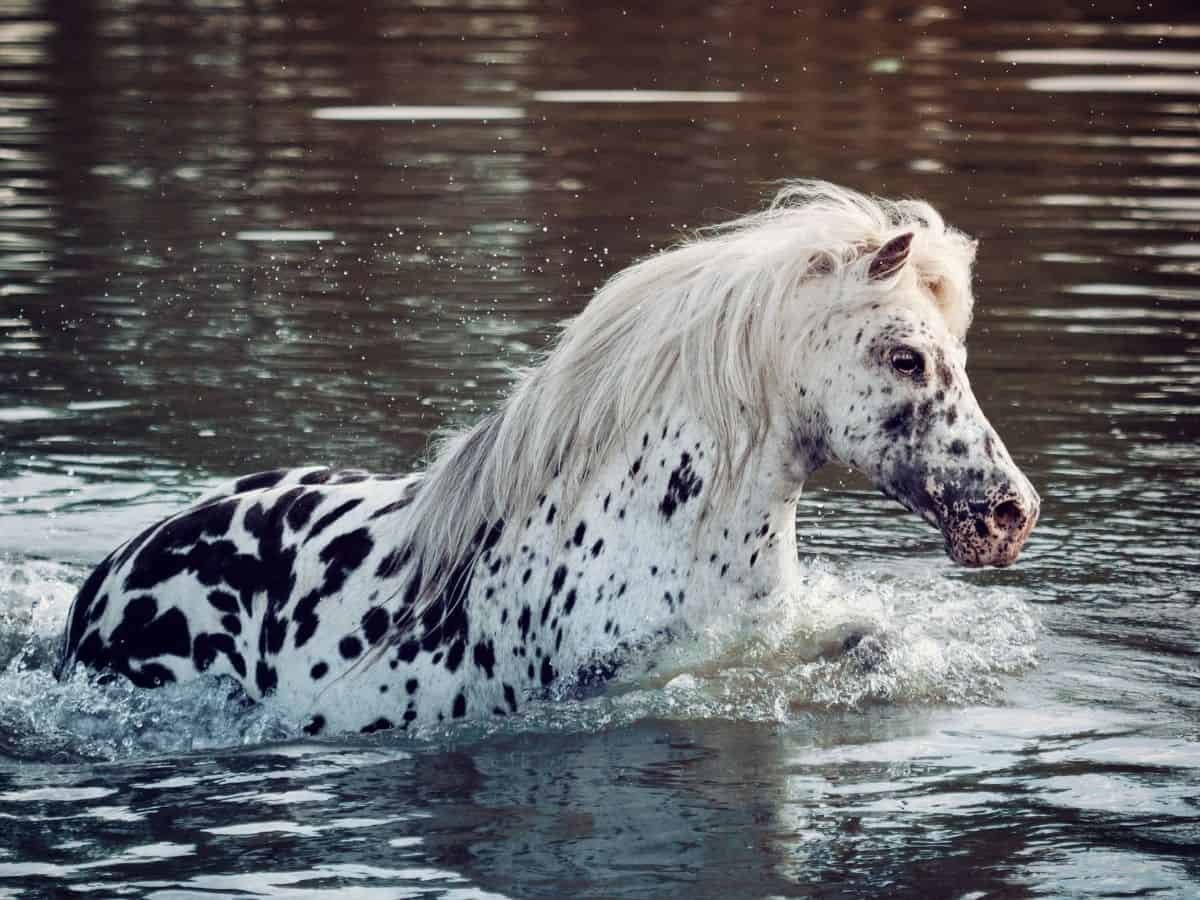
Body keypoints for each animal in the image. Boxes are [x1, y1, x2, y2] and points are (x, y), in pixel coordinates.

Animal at [55, 181, 1040, 735]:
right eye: (907, 357)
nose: (1010, 514)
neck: (651, 528)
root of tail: (106, 580)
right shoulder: (618, 684)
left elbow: (869, 640)